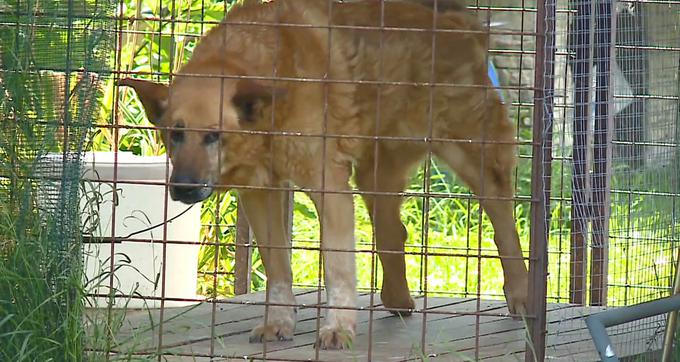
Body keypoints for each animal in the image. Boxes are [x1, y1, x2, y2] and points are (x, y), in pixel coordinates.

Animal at [119, 0, 528, 350]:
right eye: (175, 134)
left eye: (214, 135)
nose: (183, 188)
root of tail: (459, 19)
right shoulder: (260, 193)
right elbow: (278, 269)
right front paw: (279, 322)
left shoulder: (329, 189)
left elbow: (338, 268)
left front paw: (338, 329)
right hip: (374, 175)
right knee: (393, 231)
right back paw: (398, 298)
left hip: (471, 155)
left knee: (504, 225)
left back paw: (521, 296)